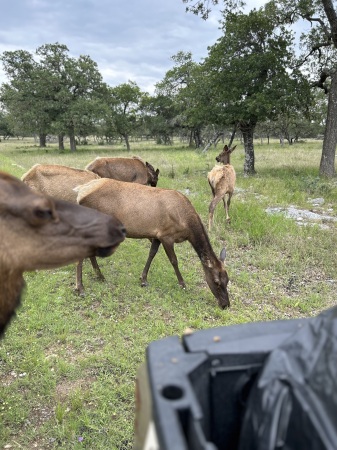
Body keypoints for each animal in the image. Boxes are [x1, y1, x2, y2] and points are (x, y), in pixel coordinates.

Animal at [75, 179, 230, 310]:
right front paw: (183, 284)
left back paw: (99, 276)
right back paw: (80, 288)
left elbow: (152, 254)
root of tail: (80, 192)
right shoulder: (166, 235)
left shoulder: (157, 235)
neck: (187, 225)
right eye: (216, 281)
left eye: (227, 280)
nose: (226, 305)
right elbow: (174, 261)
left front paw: (143, 279)